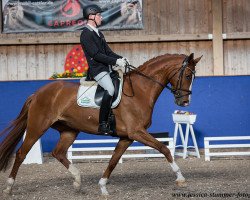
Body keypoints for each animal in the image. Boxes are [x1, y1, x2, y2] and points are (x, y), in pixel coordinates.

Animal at [0, 52, 201, 195]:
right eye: (188, 75)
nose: (184, 103)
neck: (140, 90)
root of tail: (37, 93)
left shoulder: (127, 137)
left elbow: (113, 160)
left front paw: (103, 186)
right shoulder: (137, 132)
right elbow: (164, 148)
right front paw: (180, 178)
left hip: (69, 130)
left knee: (59, 152)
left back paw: (77, 181)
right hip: (37, 127)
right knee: (21, 153)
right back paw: (9, 187)